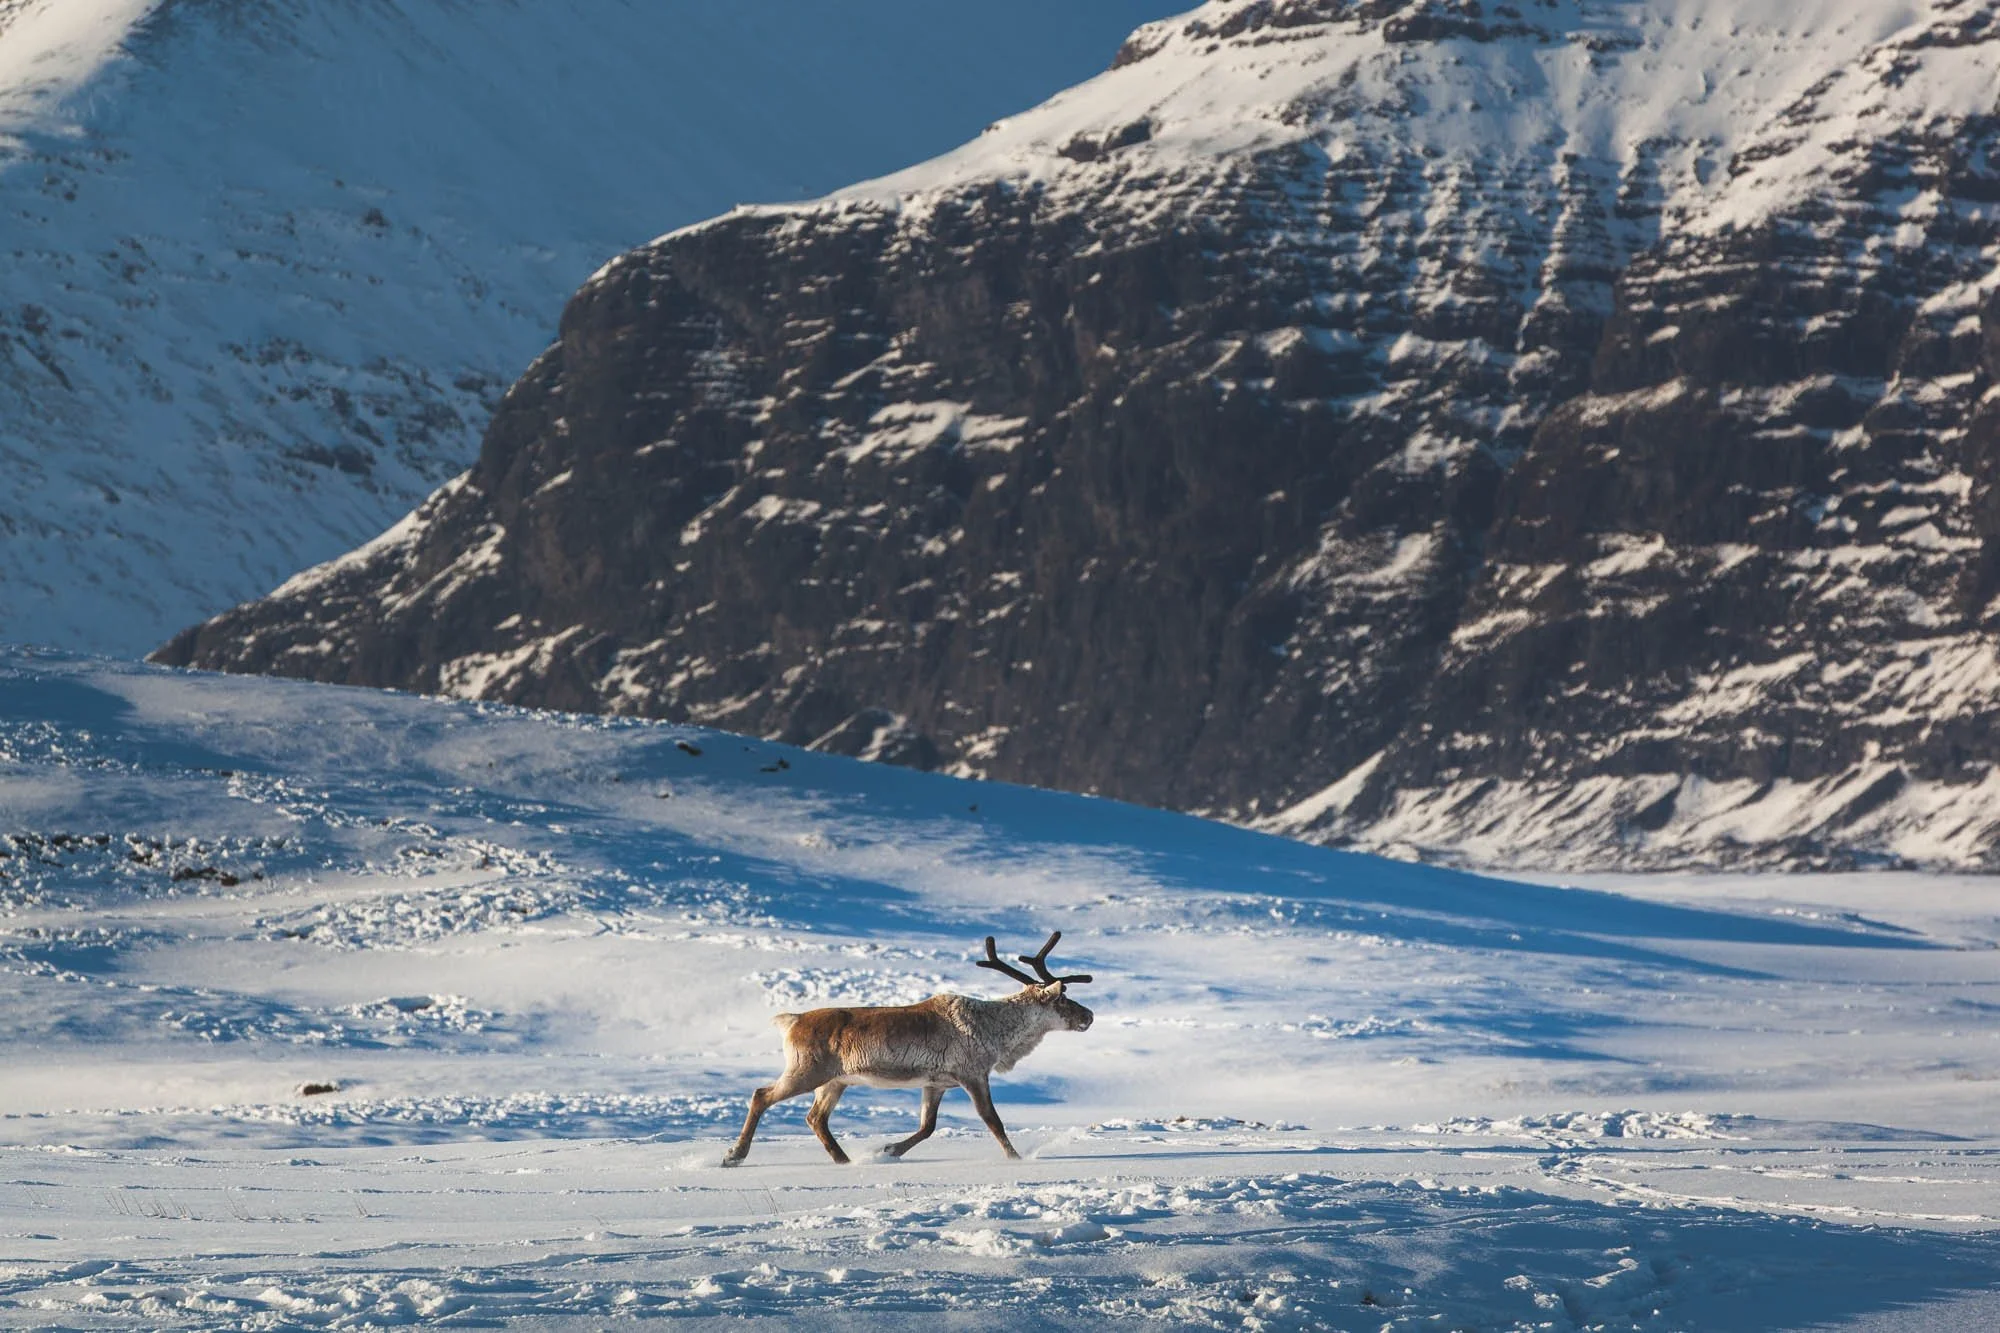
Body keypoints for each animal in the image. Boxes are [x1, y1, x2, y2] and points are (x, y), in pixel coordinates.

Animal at [721, 931, 1094, 1166]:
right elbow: (993, 1120)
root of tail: (791, 1021)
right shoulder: (973, 1073)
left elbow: (927, 1127)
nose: (1089, 1015)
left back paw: (846, 1160)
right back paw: (734, 1155)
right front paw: (1015, 1158)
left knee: (815, 1118)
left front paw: (888, 1150)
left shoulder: (936, 1083)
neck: (998, 1031)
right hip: (806, 1070)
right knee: (761, 1095)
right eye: (1062, 999)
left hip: (834, 1082)